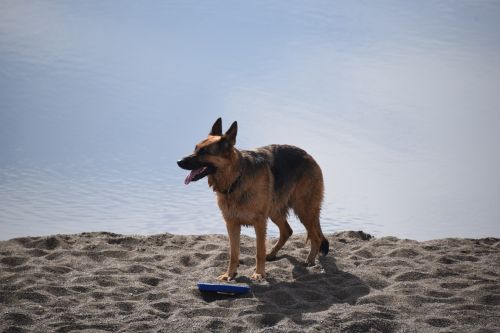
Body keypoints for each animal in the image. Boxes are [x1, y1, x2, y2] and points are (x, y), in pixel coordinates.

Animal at [176, 118, 328, 278]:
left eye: (204, 152)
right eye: (195, 148)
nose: (178, 161)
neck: (235, 179)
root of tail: (308, 155)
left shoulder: (259, 223)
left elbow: (259, 251)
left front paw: (259, 273)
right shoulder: (232, 224)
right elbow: (234, 253)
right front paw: (229, 274)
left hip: (304, 210)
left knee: (316, 236)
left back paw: (310, 260)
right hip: (275, 212)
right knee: (287, 231)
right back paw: (272, 254)